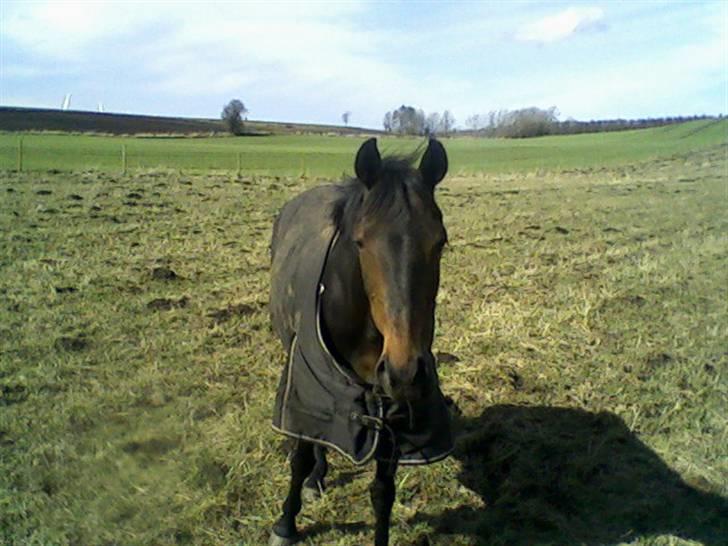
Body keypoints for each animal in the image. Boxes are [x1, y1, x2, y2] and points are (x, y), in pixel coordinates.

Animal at [268, 137, 452, 544]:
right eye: (361, 241)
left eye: (440, 242)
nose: (404, 372)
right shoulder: (307, 388)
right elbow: (301, 456)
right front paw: (285, 525)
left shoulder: (390, 414)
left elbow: (383, 492)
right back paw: (315, 479)